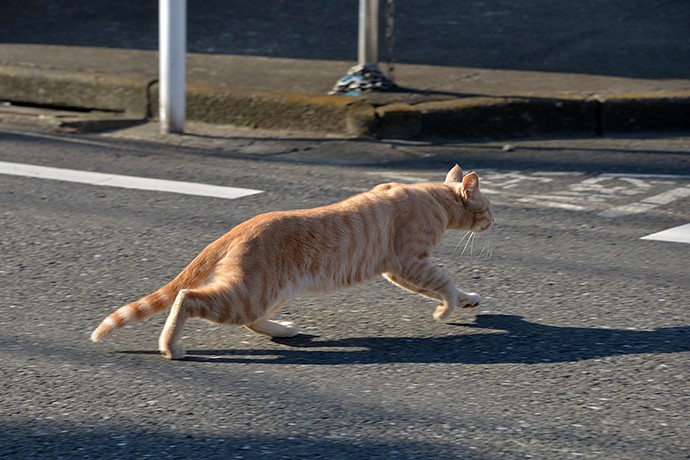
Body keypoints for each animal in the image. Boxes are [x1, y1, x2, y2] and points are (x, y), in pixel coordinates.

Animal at [91, 165, 492, 360]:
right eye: (488, 207)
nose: (494, 222)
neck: (435, 197)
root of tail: (240, 226)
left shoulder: (398, 270)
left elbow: (447, 286)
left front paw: (469, 300)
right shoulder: (409, 262)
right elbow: (444, 282)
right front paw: (447, 309)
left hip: (271, 290)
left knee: (252, 320)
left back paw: (283, 330)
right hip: (247, 293)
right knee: (187, 297)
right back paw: (170, 347)